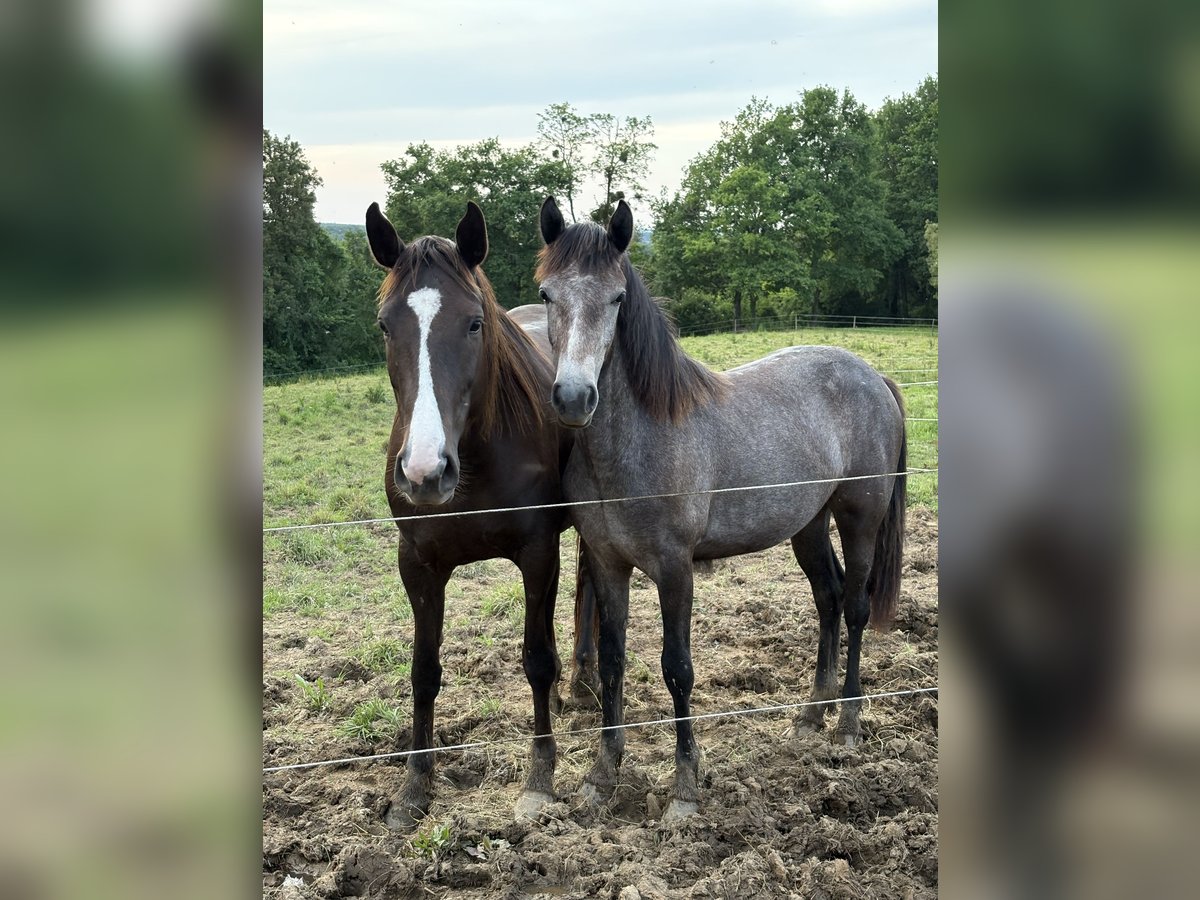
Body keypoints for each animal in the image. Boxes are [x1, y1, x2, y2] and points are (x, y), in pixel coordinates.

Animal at [365, 200, 596, 826]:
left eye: (473, 323)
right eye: (385, 326)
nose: (424, 472)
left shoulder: (537, 552)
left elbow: (536, 659)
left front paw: (540, 776)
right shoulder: (418, 565)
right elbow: (423, 671)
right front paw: (415, 786)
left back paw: (585, 684)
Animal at [533, 196, 908, 821]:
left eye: (616, 298)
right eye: (546, 294)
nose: (573, 398)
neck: (639, 440)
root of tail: (873, 376)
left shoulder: (673, 568)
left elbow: (677, 669)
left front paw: (685, 788)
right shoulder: (609, 564)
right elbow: (611, 662)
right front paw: (602, 776)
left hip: (860, 516)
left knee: (855, 608)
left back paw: (849, 722)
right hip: (808, 526)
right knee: (828, 601)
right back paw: (812, 714)